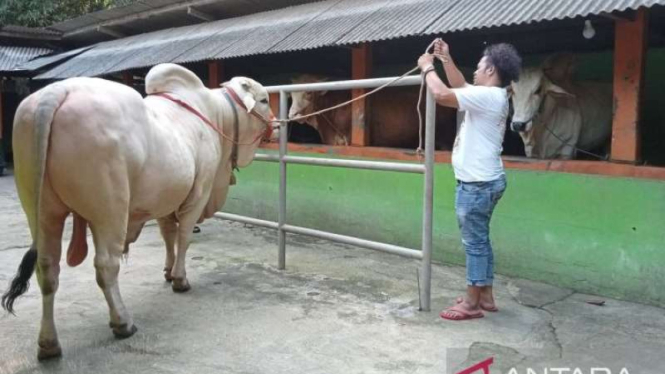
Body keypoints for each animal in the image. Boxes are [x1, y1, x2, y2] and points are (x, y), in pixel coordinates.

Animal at [0, 64, 274, 360]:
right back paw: (122, 322)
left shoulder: (167, 197)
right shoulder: (198, 194)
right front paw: (180, 279)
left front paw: (168, 270)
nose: (276, 125)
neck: (216, 115)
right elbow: (184, 238)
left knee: (47, 270)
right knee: (106, 266)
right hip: (109, 211)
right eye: (264, 100)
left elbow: (168, 234)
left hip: (42, 212)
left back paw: (49, 344)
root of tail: (56, 91)